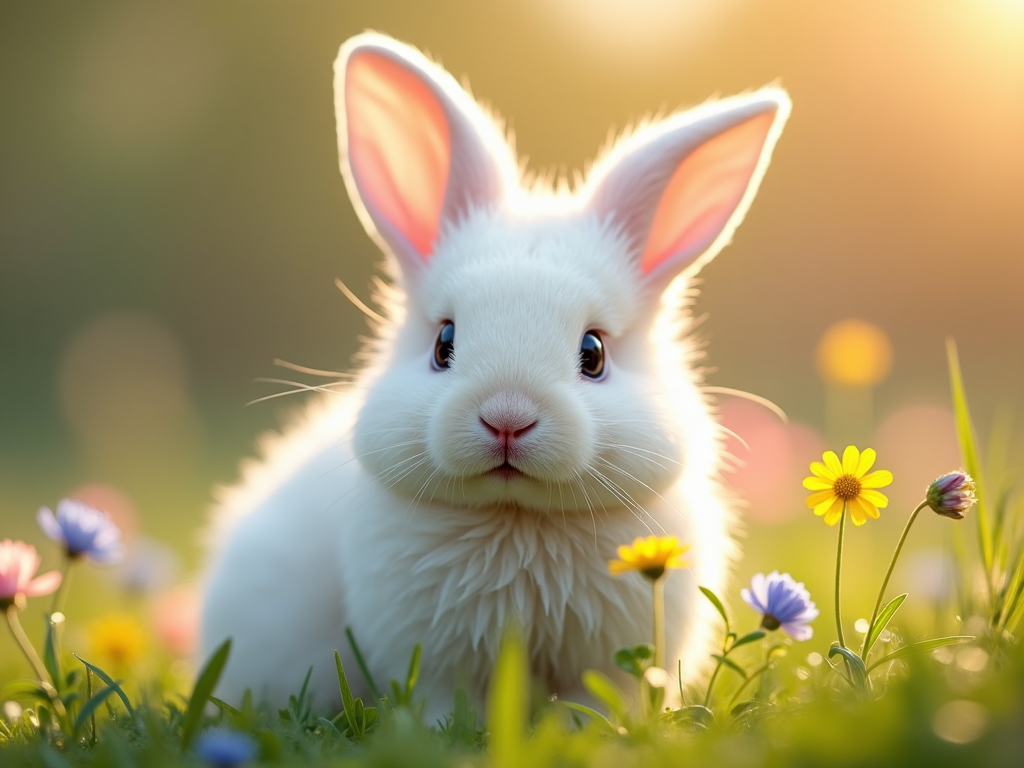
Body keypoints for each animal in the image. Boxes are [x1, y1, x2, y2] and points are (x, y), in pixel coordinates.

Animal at [199, 30, 790, 716]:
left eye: (594, 353)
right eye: (444, 342)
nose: (507, 419)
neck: (517, 519)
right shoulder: (432, 661)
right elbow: (443, 704)